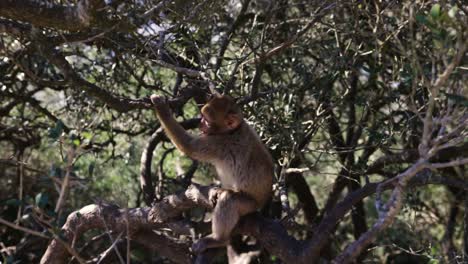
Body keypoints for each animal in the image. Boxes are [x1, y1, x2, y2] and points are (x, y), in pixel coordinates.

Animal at [150, 93, 274, 254]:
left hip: (251, 205)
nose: (200, 124)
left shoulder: (220, 143)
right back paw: (219, 191)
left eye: (207, 121)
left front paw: (161, 107)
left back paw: (218, 239)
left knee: (230, 200)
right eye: (202, 117)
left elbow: (188, 146)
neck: (233, 130)